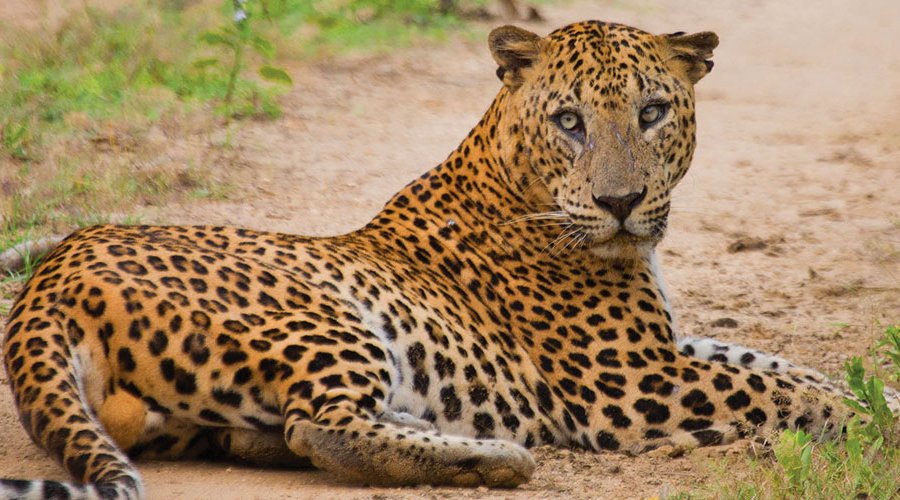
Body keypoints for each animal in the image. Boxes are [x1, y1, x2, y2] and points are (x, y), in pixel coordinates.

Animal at [2, 20, 893, 500]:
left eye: (652, 112)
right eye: (569, 121)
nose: (620, 202)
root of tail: (51, 274)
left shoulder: (666, 346)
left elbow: (787, 366)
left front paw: (873, 392)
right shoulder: (632, 381)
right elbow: (785, 391)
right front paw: (871, 422)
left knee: (286, 432)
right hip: (327, 319)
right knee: (323, 428)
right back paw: (495, 457)